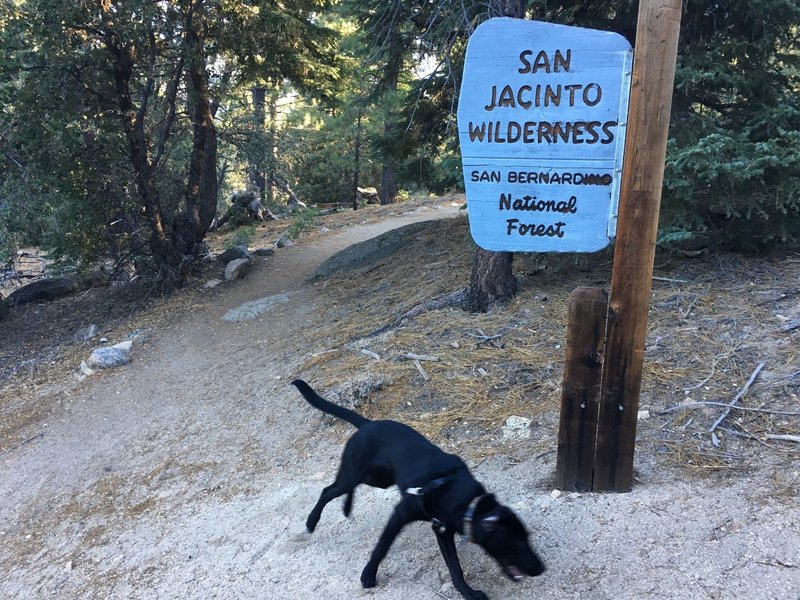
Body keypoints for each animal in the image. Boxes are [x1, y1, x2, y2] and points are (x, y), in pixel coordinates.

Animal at [290, 380, 548, 600]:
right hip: (354, 473)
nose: (541, 568)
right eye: (517, 543)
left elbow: (455, 567)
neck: (467, 502)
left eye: (527, 539)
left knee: (345, 488)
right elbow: (381, 547)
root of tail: (368, 424)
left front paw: (468, 592)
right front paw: (368, 575)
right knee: (329, 490)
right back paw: (311, 522)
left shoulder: (442, 529)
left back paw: (346, 507)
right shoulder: (401, 514)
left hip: (377, 478)